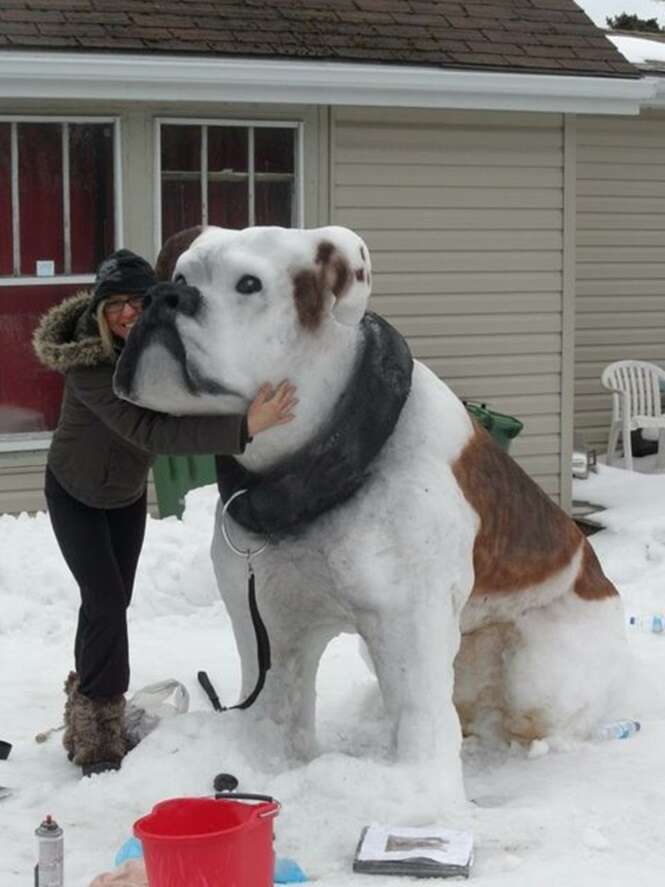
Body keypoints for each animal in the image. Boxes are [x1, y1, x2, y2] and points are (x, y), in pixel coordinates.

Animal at [113, 225, 624, 808]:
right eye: (180, 274)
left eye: (248, 284)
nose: (163, 297)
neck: (320, 465)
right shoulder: (268, 622)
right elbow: (277, 707)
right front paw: (264, 763)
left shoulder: (408, 622)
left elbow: (421, 723)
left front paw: (401, 789)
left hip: (537, 669)